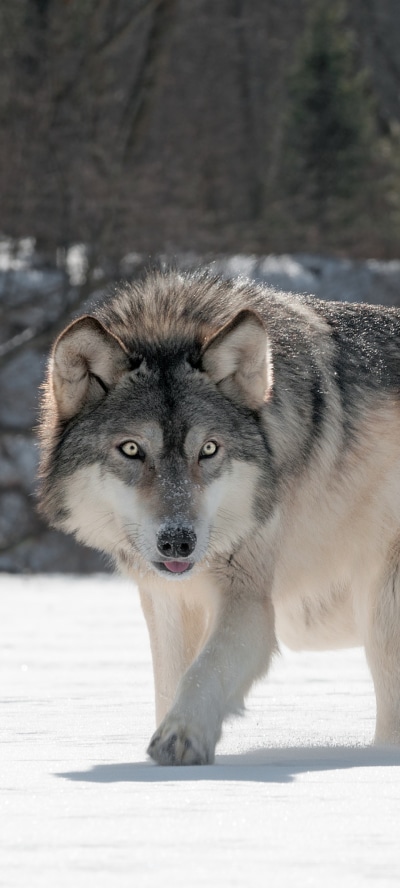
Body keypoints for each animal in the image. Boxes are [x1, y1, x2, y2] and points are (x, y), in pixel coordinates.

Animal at [38, 268, 400, 764]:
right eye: (131, 449)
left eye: (208, 449)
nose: (178, 541)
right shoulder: (168, 601)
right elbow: (170, 681)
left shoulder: (248, 598)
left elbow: (204, 671)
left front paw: (180, 738)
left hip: (383, 608)